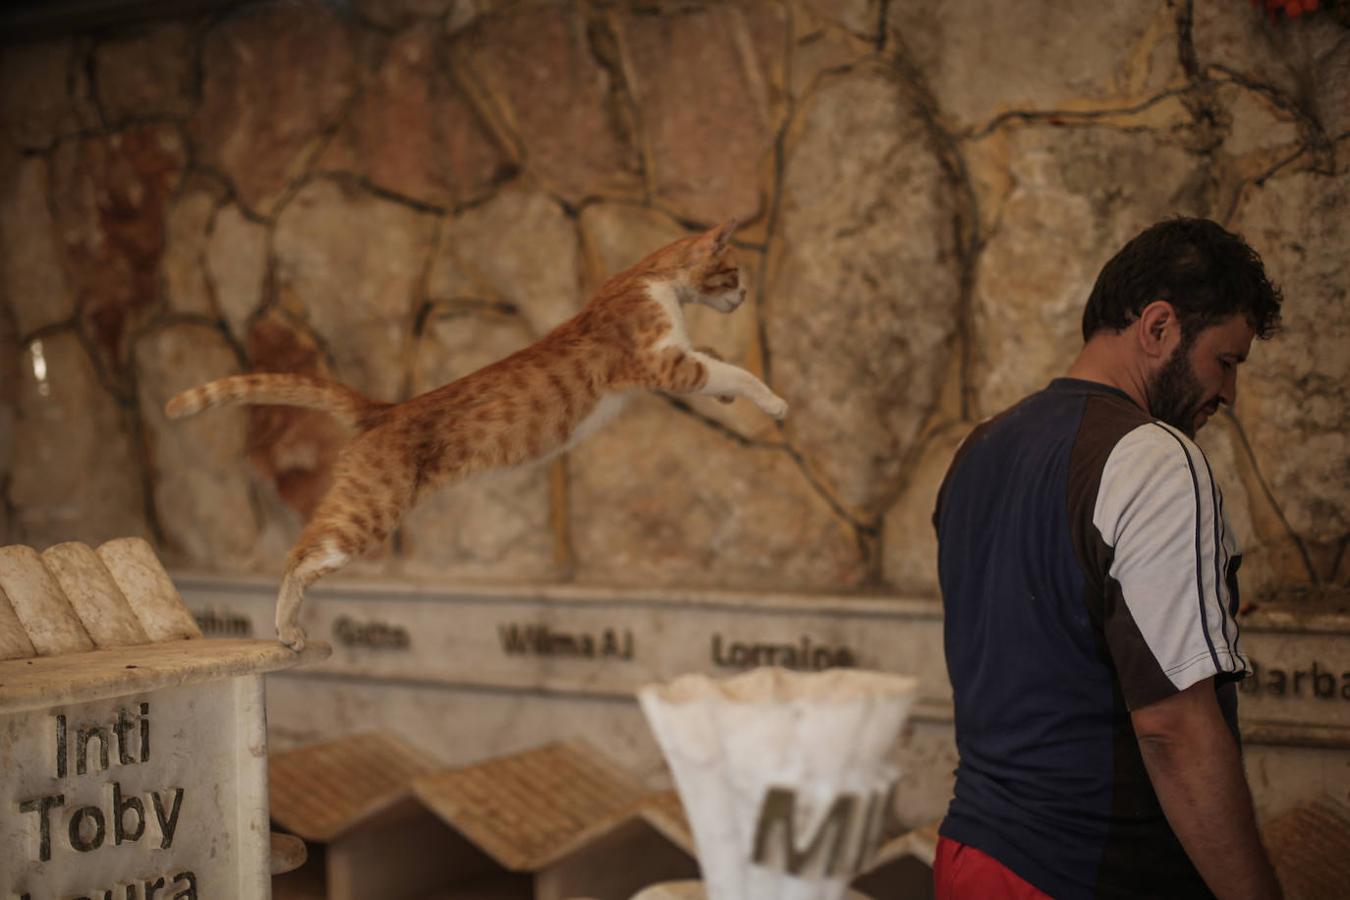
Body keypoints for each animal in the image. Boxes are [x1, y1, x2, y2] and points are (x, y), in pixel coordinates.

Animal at [164, 221, 788, 650]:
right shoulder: (665, 364)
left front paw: (730, 397)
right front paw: (774, 404)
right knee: (301, 553)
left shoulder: (679, 360)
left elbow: (719, 359)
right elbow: (736, 371)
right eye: (736, 274)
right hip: (369, 512)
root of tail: (383, 408)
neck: (648, 278)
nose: (743, 299)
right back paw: (287, 632)